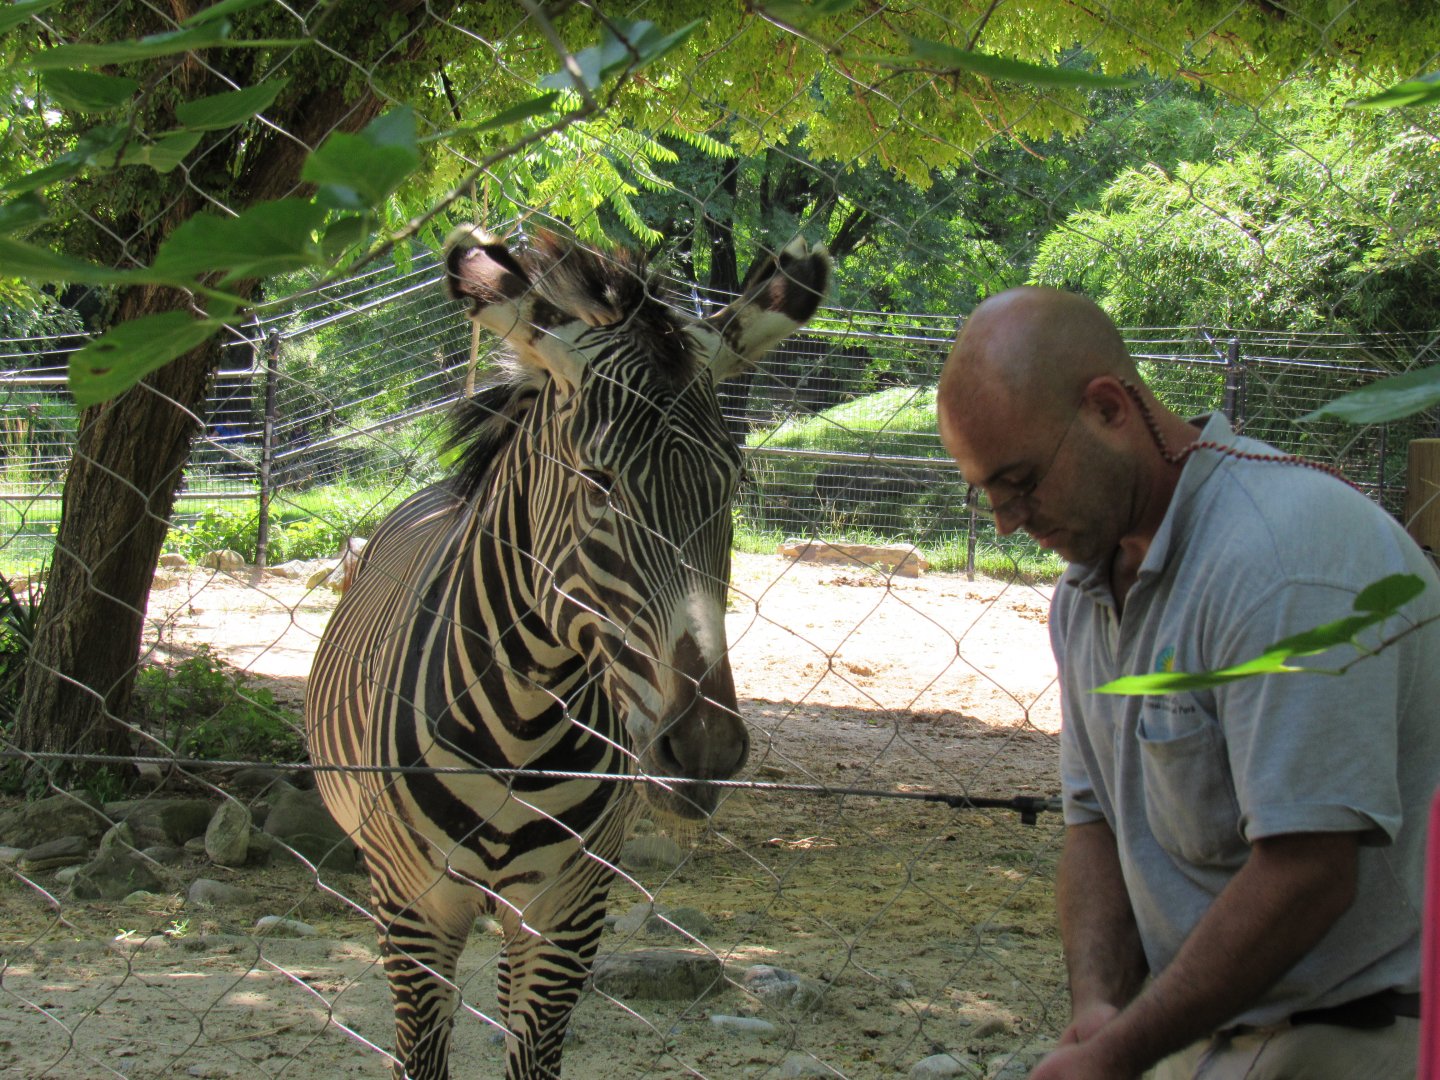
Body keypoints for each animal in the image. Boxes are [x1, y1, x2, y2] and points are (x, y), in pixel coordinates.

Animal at [305, 224, 830, 1080]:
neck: (521, 725)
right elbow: (422, 1055)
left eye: (733, 485)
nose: (706, 750)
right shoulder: (415, 912)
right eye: (598, 480)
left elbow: (535, 1055)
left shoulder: (570, 913)